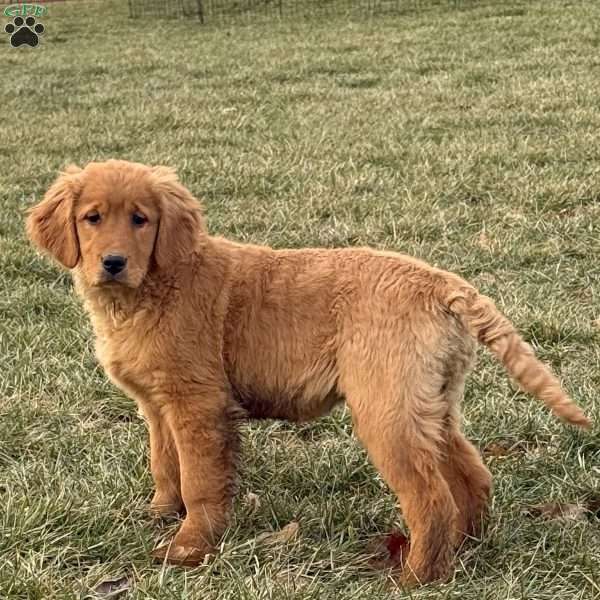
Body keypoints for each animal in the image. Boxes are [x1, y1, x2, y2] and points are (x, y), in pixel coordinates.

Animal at [27, 161, 592, 584]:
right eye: (92, 218)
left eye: (140, 219)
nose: (113, 263)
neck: (151, 288)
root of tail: (441, 283)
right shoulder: (157, 404)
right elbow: (165, 465)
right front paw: (161, 513)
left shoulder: (198, 403)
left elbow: (199, 480)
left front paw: (188, 548)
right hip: (429, 401)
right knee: (471, 475)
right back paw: (465, 548)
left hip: (385, 408)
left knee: (429, 497)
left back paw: (416, 577)